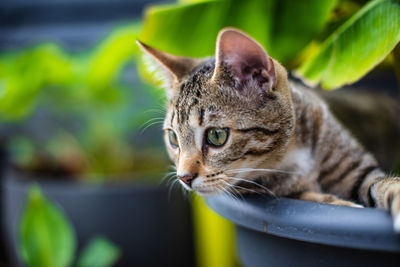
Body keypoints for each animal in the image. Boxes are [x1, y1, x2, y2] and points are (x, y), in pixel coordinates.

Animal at [137, 28, 400, 231]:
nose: (184, 177)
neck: (291, 152)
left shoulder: (357, 169)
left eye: (216, 135)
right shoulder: (279, 192)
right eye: (173, 138)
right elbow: (320, 200)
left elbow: (382, 182)